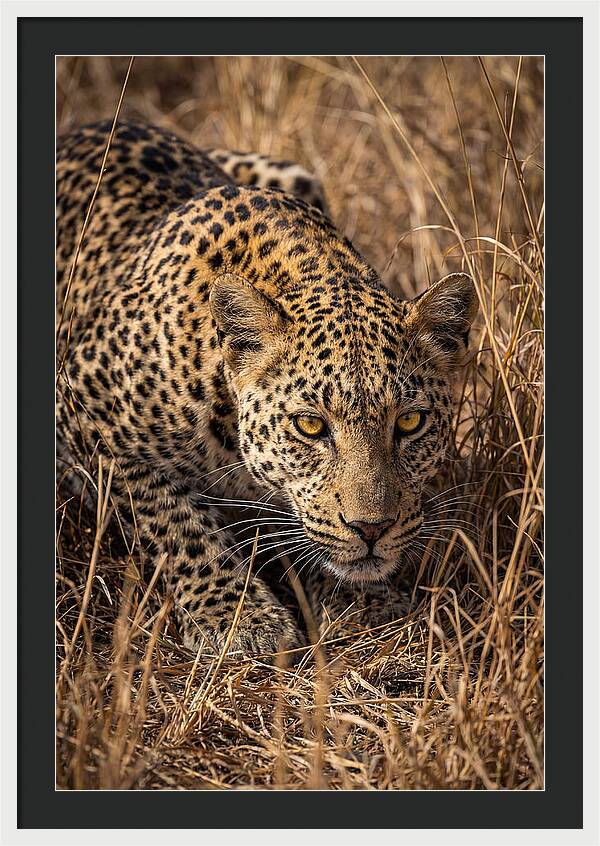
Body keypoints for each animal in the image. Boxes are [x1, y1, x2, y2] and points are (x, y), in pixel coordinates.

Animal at [56, 120, 478, 659]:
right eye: (310, 426)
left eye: (409, 422)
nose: (372, 529)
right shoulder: (82, 407)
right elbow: (173, 521)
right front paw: (239, 618)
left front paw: (363, 602)